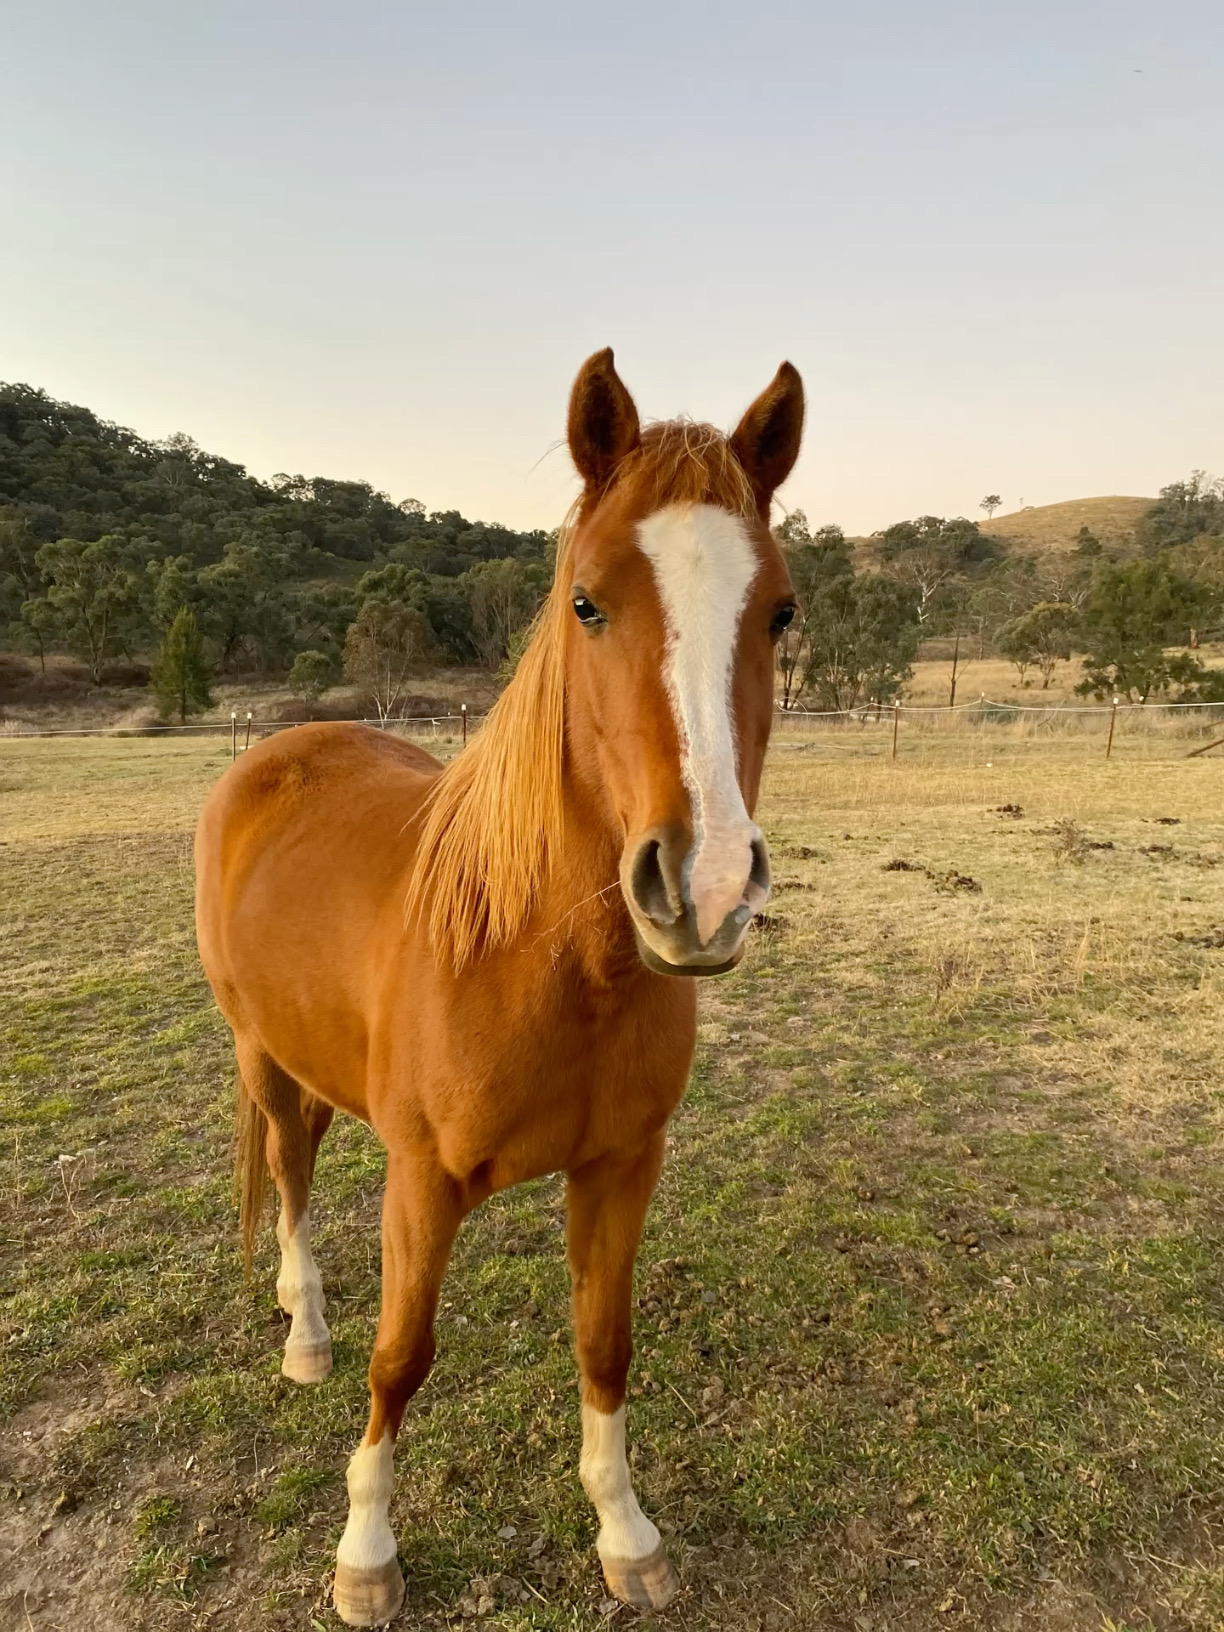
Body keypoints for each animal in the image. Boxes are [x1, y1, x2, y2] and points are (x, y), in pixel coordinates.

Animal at [194, 348, 803, 1626]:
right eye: (586, 601)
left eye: (781, 611)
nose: (707, 887)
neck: (542, 963)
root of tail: (275, 752)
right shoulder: (424, 1181)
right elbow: (400, 1359)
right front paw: (366, 1552)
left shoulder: (622, 1167)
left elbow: (605, 1341)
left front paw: (627, 1530)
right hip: (258, 1055)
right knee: (289, 1174)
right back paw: (305, 1328)